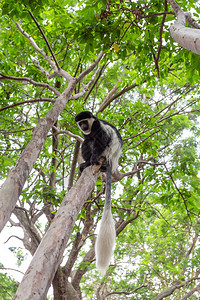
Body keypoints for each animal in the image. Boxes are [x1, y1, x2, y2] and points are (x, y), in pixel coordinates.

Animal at [74, 111, 122, 276]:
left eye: (85, 121)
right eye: (80, 122)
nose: (83, 126)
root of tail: (112, 160)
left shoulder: (97, 127)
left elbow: (101, 139)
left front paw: (91, 159)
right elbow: (86, 140)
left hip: (105, 152)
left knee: (96, 142)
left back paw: (91, 162)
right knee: (86, 142)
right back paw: (86, 164)